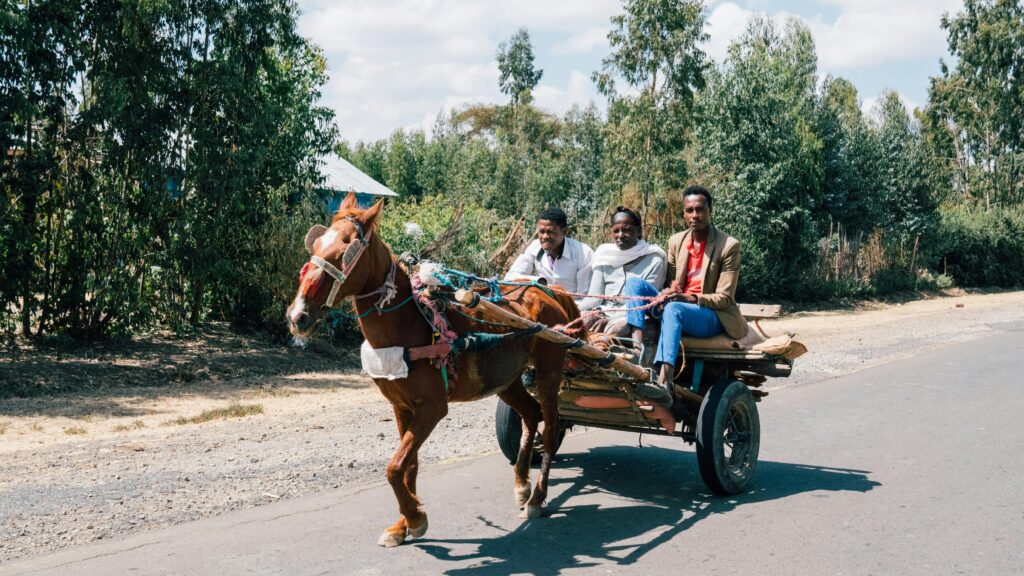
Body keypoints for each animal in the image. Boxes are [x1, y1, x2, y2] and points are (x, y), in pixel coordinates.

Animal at [286, 191, 585, 541]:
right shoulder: (402, 407)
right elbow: (408, 464)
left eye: (345, 250)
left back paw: (537, 497)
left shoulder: (432, 407)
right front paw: (403, 524)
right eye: (317, 244)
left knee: (549, 429)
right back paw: (522, 484)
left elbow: (395, 467)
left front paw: (415, 517)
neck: (409, 326)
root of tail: (550, 291)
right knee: (531, 415)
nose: (297, 316)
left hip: (548, 374)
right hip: (506, 380)